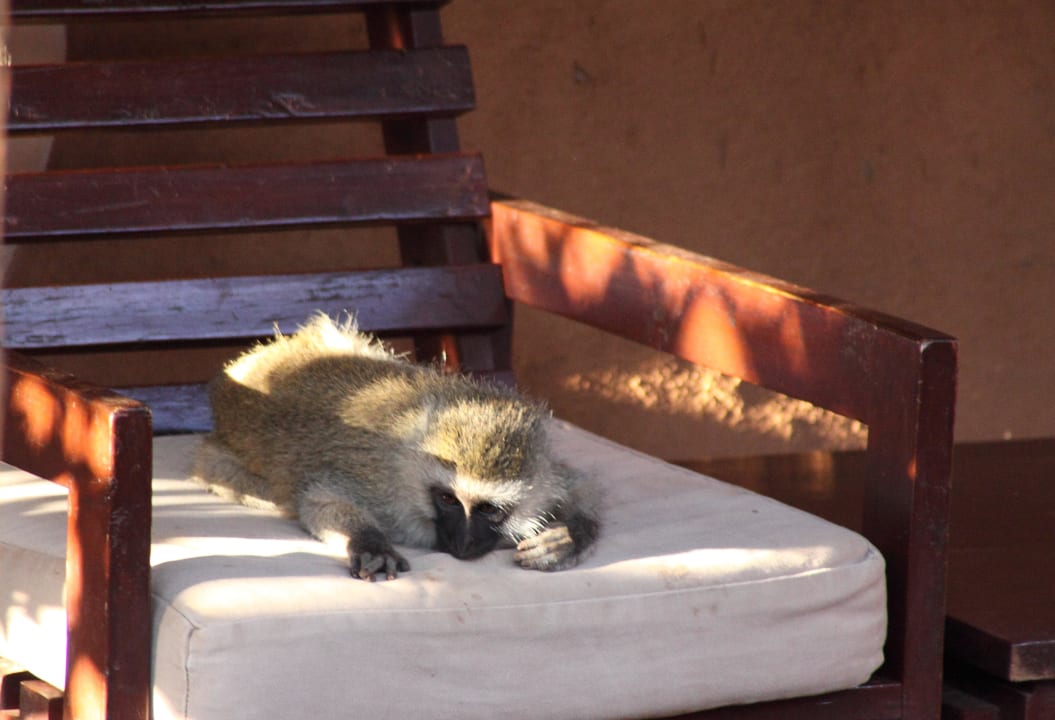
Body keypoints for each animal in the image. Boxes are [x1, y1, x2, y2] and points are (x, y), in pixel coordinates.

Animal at [192, 314, 601, 581]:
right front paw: (369, 542)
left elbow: (579, 484)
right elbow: (320, 500)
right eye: (448, 499)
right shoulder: (379, 483)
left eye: (488, 509)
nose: (464, 541)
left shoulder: (546, 469)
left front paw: (569, 537)